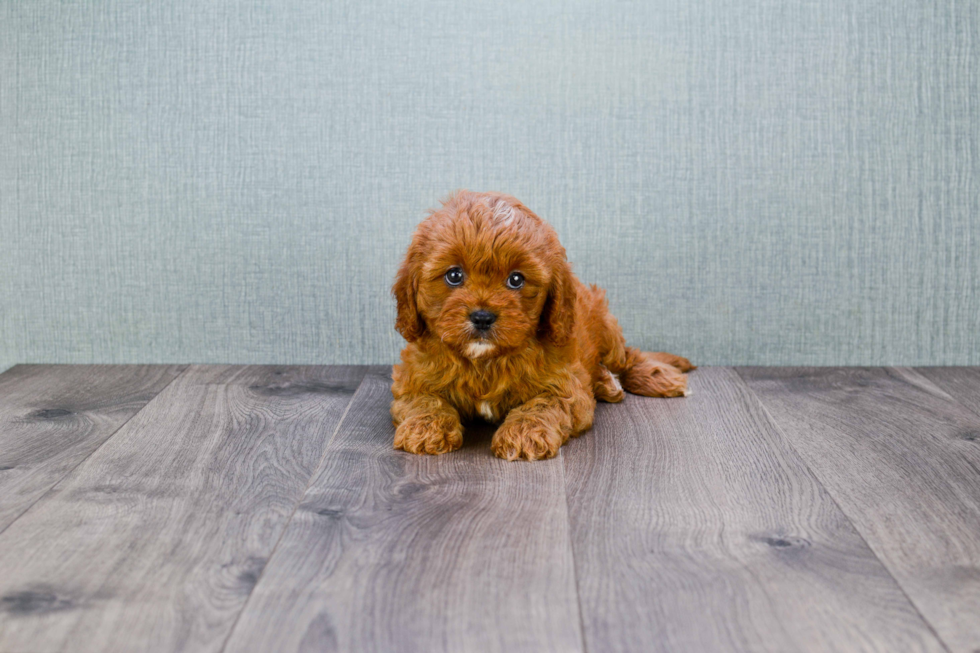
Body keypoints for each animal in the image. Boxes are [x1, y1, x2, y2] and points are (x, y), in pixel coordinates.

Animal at [386, 191, 692, 460]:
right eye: (454, 275)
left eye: (516, 280)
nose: (482, 317)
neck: (485, 361)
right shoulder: (412, 377)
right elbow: (424, 399)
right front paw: (425, 427)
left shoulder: (566, 385)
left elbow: (544, 404)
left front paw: (524, 434)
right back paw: (607, 383)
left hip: (606, 329)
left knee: (627, 357)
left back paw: (655, 377)